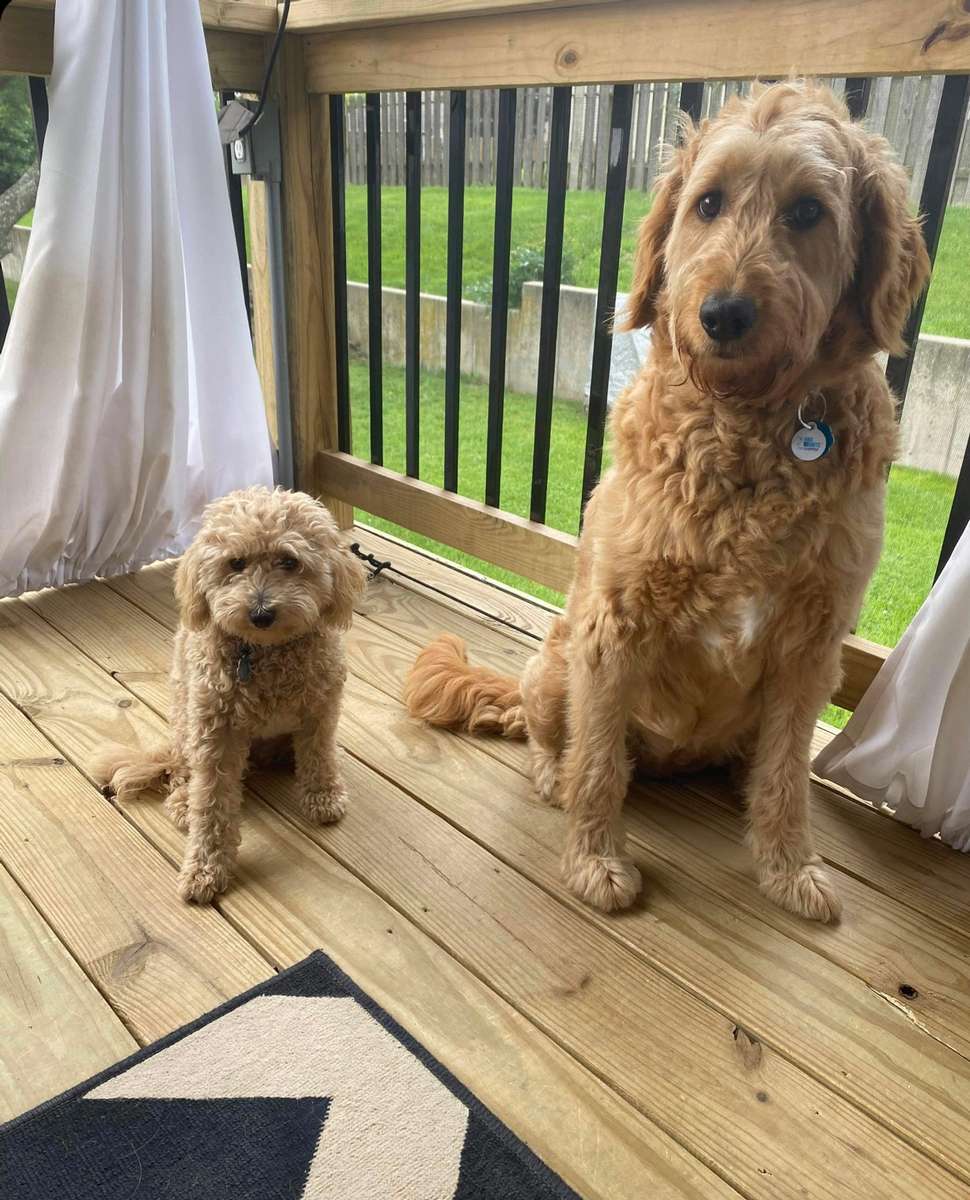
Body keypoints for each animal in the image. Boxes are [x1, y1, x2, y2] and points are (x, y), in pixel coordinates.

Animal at [92, 487, 366, 903]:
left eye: (290, 561)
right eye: (236, 562)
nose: (261, 613)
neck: (265, 652)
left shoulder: (319, 711)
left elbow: (319, 757)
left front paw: (323, 796)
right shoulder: (216, 734)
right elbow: (212, 804)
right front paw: (204, 869)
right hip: (186, 728)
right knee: (181, 774)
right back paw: (182, 802)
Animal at [404, 81, 929, 923]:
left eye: (808, 211)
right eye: (708, 203)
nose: (723, 314)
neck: (748, 431)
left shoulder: (812, 646)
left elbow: (788, 776)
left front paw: (788, 867)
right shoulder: (612, 624)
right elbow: (597, 768)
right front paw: (593, 860)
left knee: (754, 763)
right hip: (556, 666)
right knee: (563, 742)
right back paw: (551, 775)